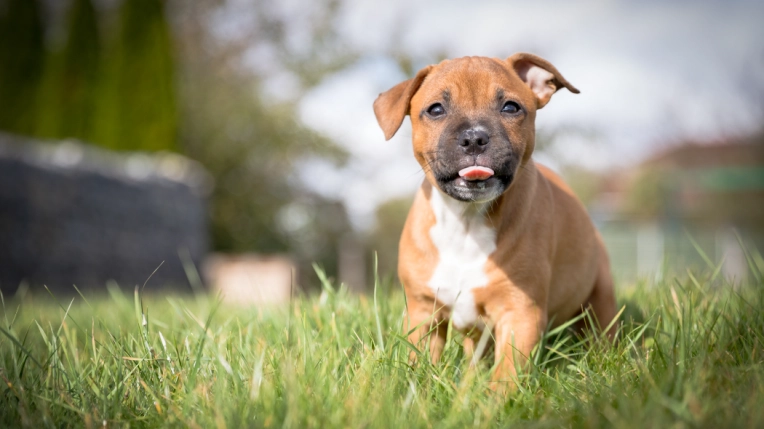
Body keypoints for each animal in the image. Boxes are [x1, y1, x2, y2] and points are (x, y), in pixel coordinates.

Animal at [374, 52, 616, 388]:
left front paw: (491, 400)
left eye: (510, 107)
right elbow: (418, 364)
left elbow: (505, 376)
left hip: (601, 297)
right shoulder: (423, 312)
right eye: (436, 109)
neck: (465, 222)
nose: (474, 137)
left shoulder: (520, 313)